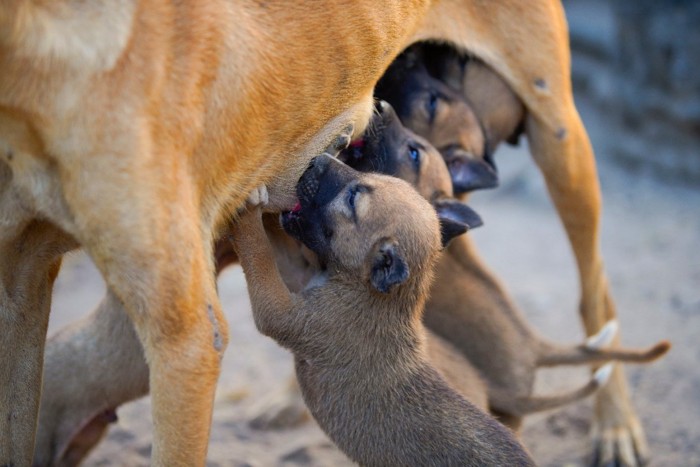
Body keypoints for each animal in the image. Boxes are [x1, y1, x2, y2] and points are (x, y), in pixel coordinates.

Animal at [0, 0, 644, 467]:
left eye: (415, 140)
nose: (383, 100)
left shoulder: (188, 342)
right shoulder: (22, 290)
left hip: (561, 139)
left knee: (596, 290)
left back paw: (616, 426)